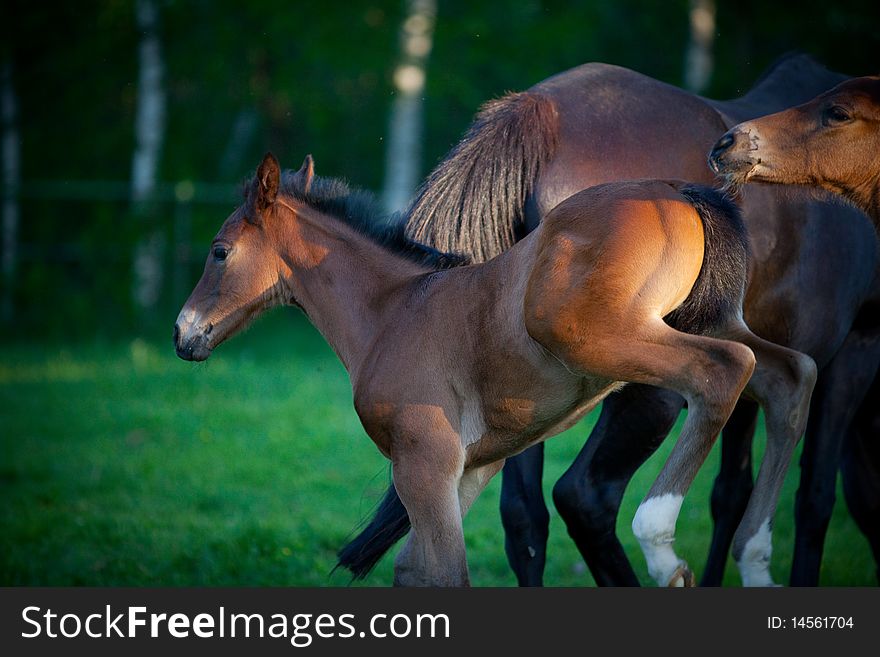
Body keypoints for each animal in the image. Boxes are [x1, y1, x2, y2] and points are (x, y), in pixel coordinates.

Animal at [174, 152, 820, 584]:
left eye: (220, 252)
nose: (184, 335)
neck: (394, 311)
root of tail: (679, 190)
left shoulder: (423, 462)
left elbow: (445, 573)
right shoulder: (472, 468)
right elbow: (414, 571)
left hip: (609, 339)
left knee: (722, 372)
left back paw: (660, 542)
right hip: (706, 320)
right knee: (793, 375)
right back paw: (756, 557)